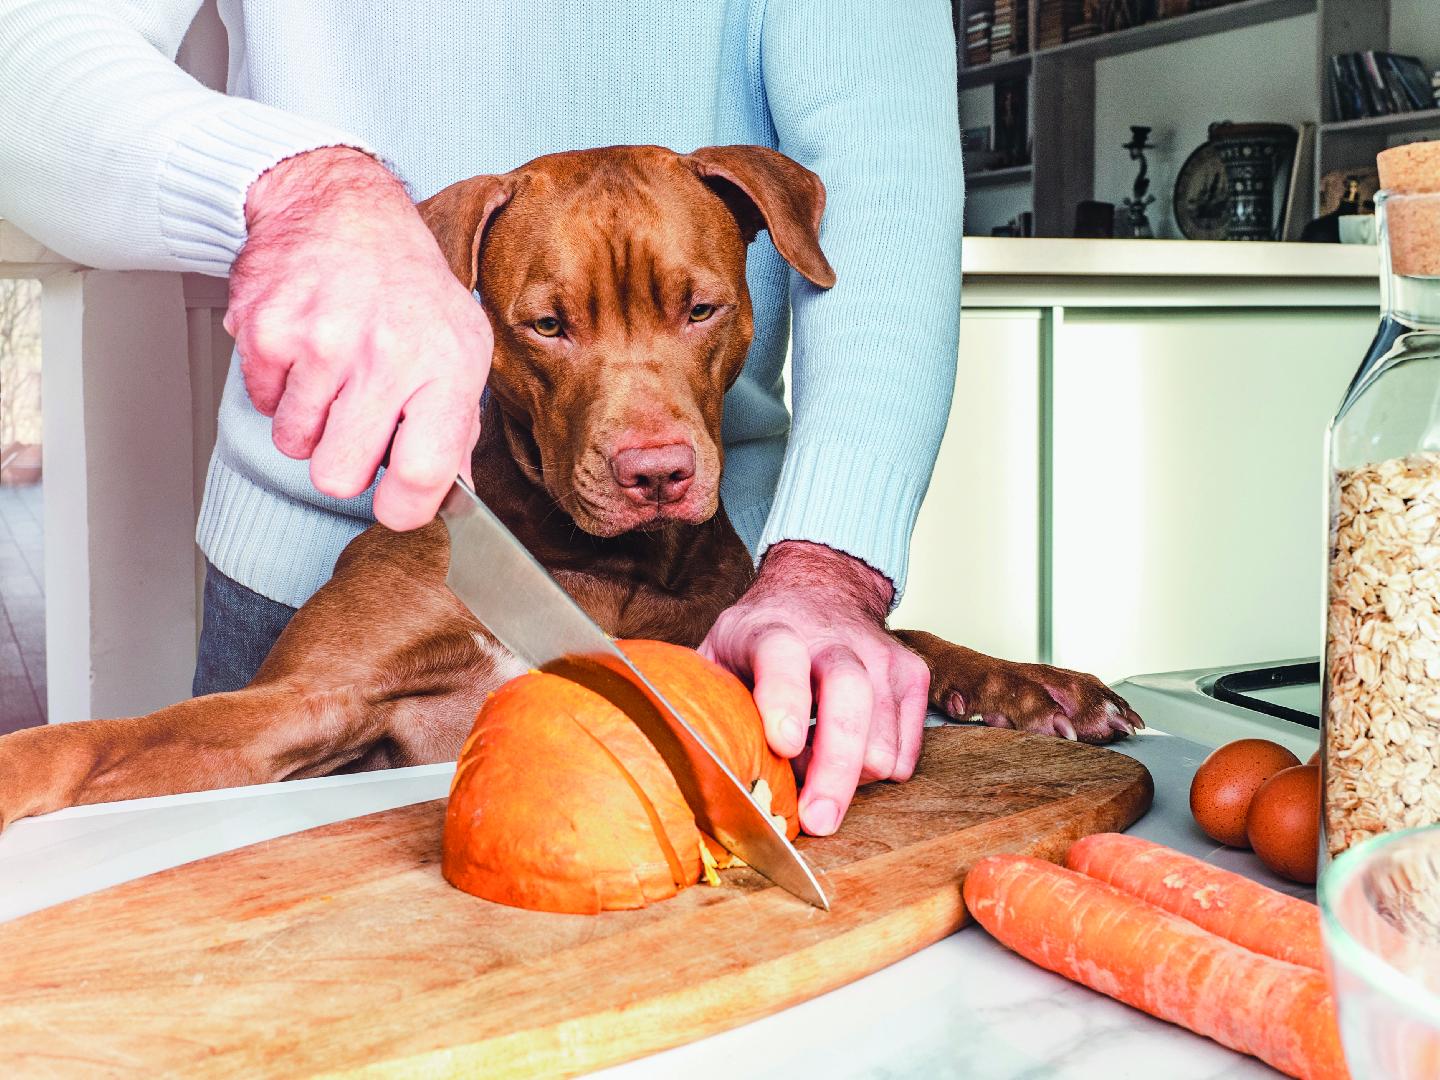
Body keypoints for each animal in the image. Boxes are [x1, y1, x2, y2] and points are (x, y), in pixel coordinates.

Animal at [0, 148, 1146, 835]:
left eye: (701, 307)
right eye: (546, 325)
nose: (656, 472)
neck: (580, 553)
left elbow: (896, 637)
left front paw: (1027, 681)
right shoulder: (313, 704)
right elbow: (101, 740)